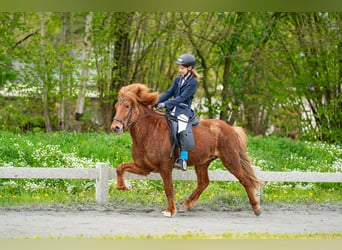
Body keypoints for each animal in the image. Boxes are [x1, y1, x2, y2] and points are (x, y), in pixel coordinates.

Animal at [111, 83, 260, 217]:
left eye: (127, 106)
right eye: (116, 106)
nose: (115, 127)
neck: (149, 131)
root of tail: (231, 128)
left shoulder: (165, 167)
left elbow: (168, 189)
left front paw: (170, 211)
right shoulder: (144, 167)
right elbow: (120, 168)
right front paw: (124, 187)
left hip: (230, 160)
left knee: (245, 180)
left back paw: (256, 208)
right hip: (202, 163)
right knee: (203, 183)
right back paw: (186, 205)